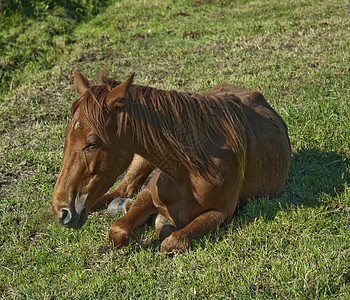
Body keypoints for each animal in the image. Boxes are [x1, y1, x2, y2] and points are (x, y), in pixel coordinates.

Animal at [52, 72, 292, 253]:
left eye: (92, 143)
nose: (62, 210)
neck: (191, 171)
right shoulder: (148, 193)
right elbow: (118, 230)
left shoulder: (221, 212)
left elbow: (172, 241)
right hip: (140, 159)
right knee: (123, 188)